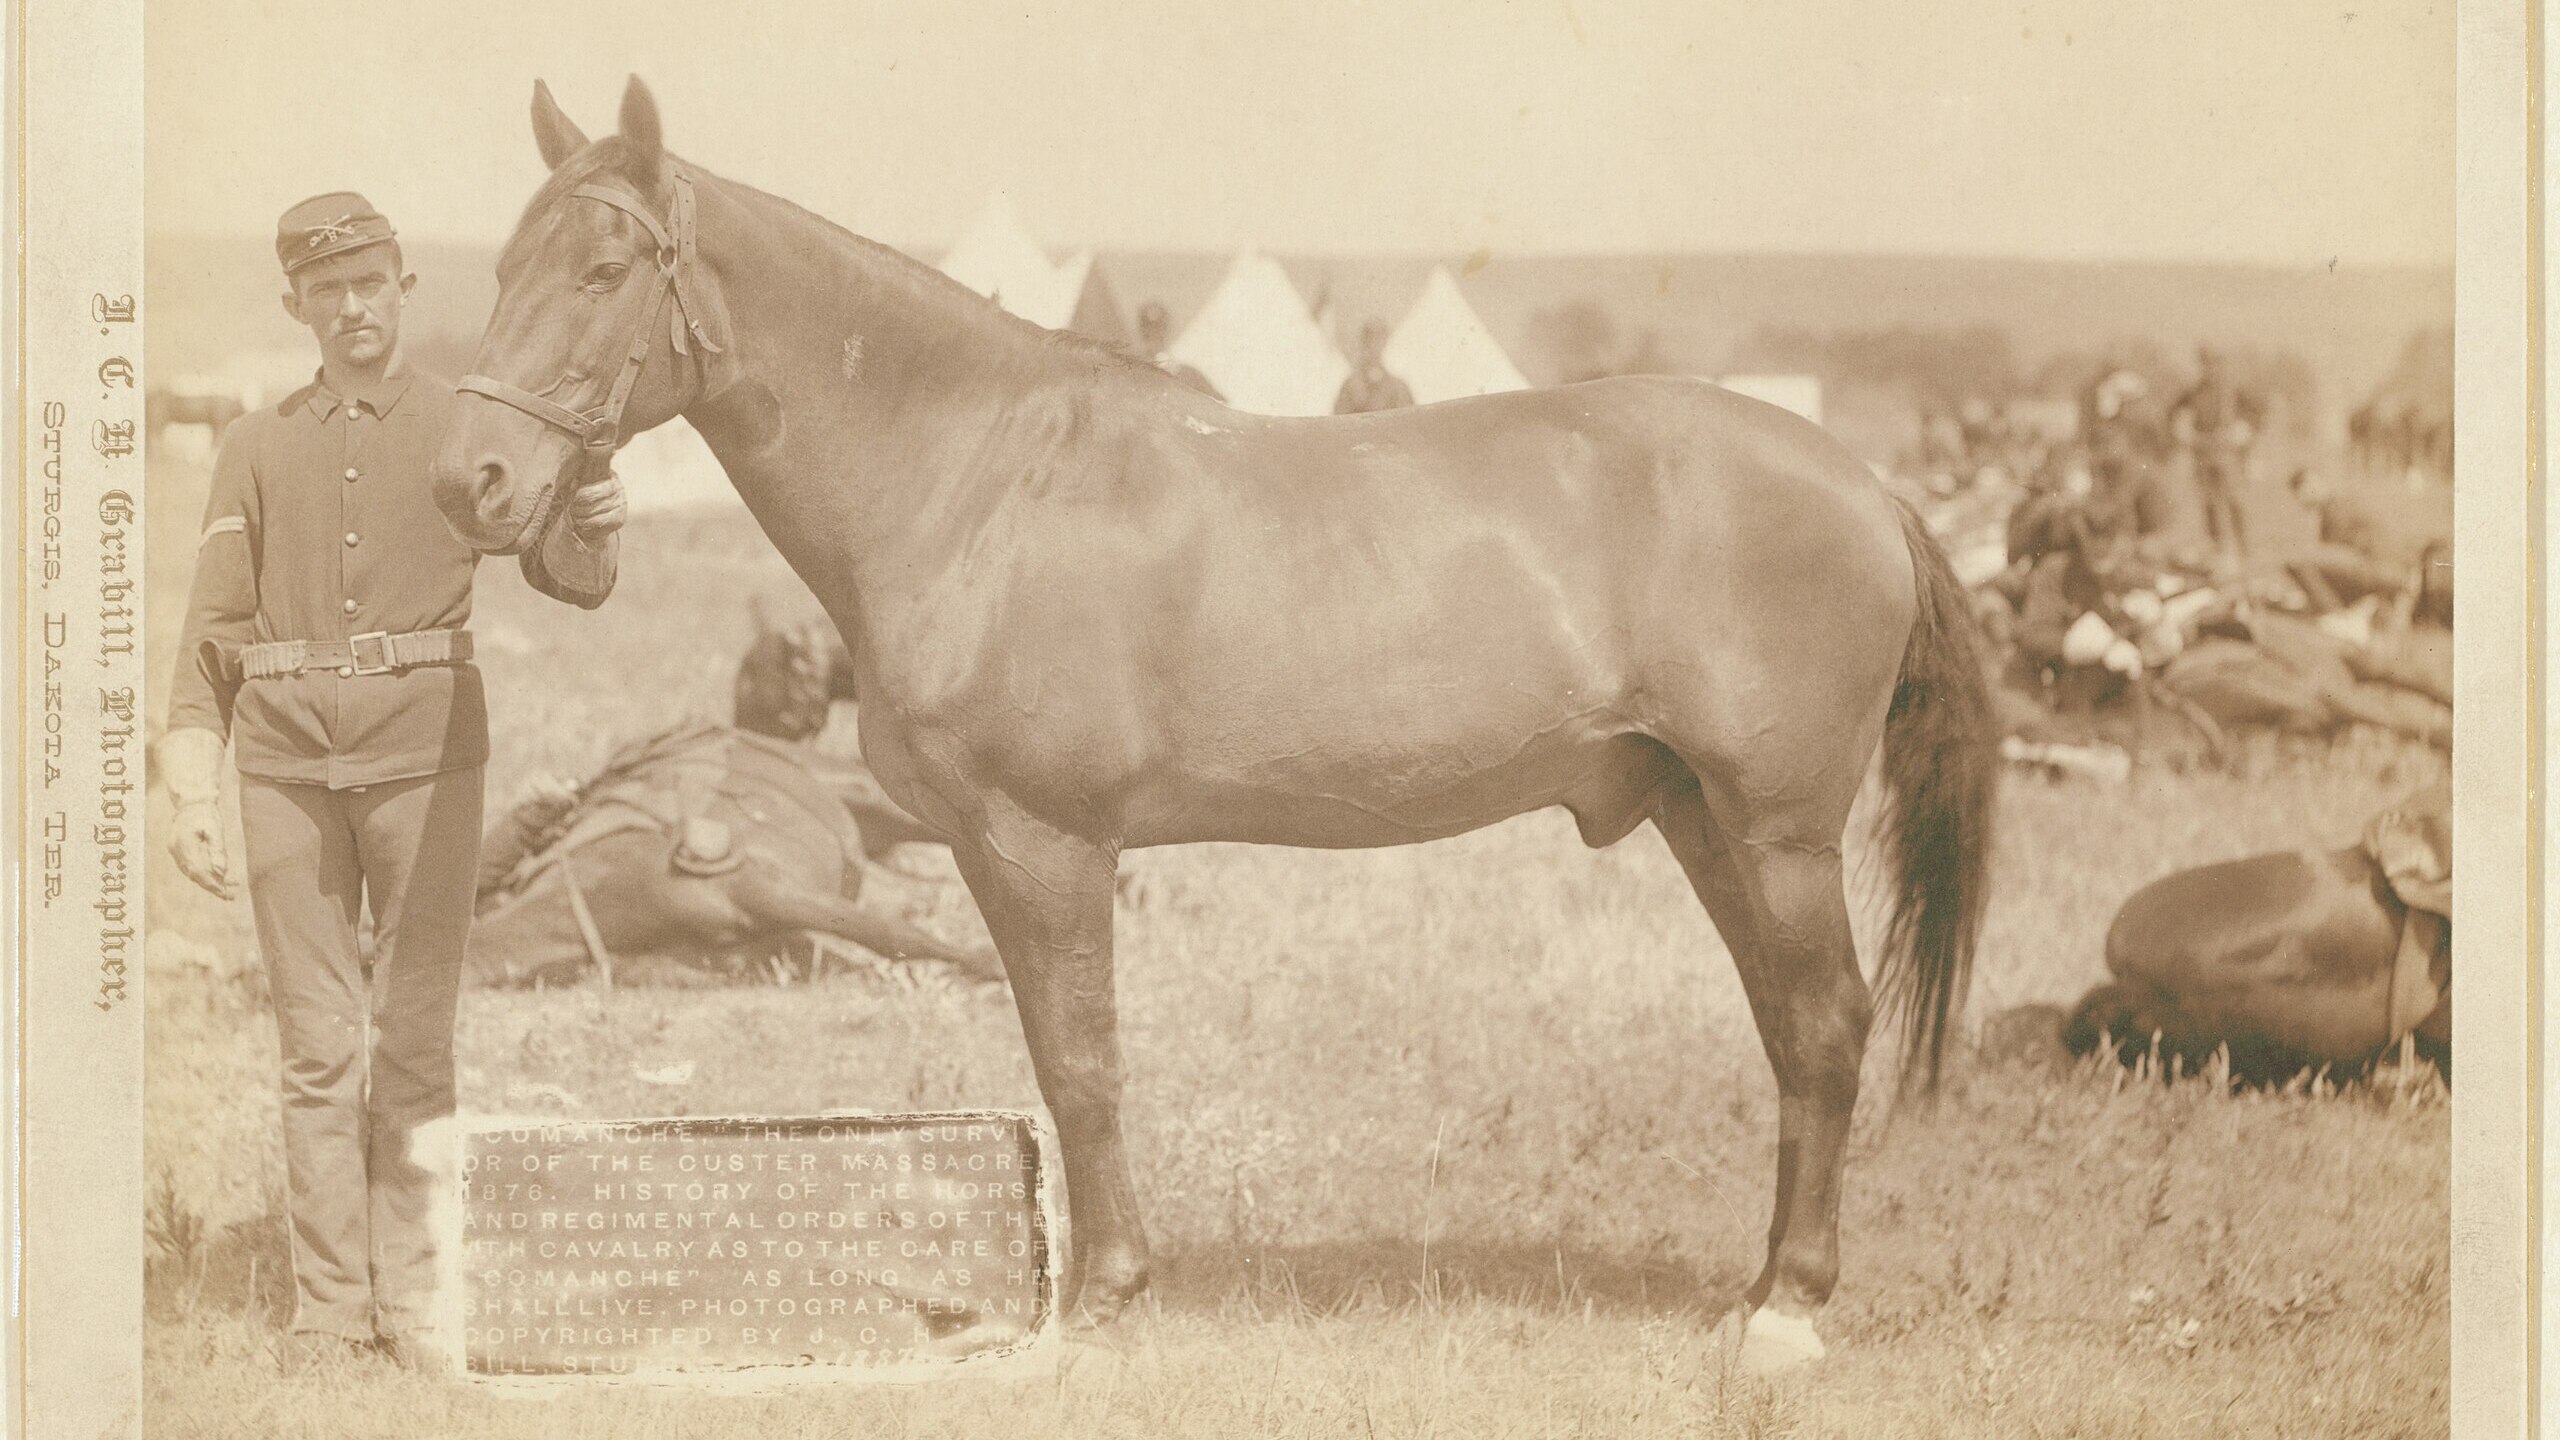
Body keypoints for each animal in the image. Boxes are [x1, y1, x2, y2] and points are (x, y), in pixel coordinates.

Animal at [430, 77, 1999, 1370]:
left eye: (603, 268)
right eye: (496, 267)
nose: (474, 481)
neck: (980, 479)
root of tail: (1864, 485)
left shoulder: (1049, 845)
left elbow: (1083, 1060)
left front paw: (1107, 1295)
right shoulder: (988, 853)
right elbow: (1052, 1050)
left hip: (1778, 833)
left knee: (1826, 1025)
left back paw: (1789, 1313)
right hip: (1699, 818)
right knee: (1789, 1033)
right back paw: (1760, 1290)